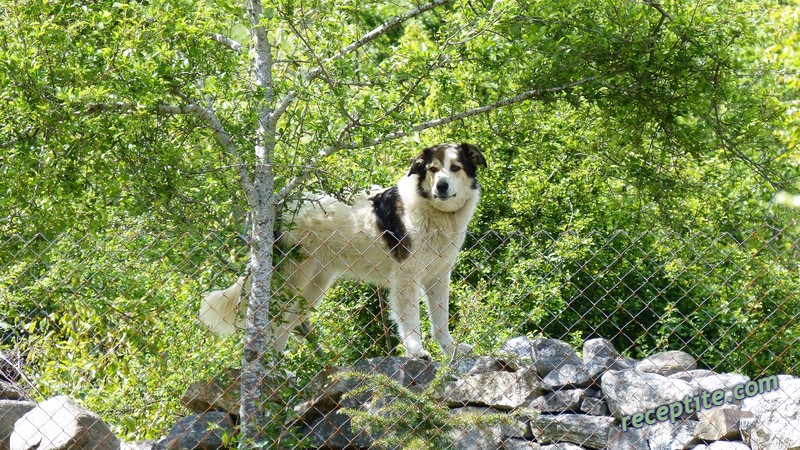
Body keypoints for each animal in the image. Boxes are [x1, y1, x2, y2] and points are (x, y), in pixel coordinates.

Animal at [200, 142, 488, 360]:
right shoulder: (406, 278)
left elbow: (441, 321)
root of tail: (280, 208)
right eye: (432, 169)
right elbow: (410, 321)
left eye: (455, 168)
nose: (441, 186)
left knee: (281, 329)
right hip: (292, 282)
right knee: (271, 327)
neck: (435, 212)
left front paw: (451, 350)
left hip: (311, 288)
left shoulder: (438, 276)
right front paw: (417, 351)